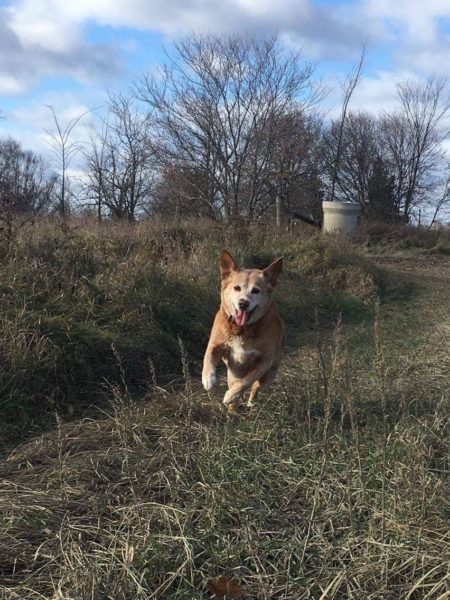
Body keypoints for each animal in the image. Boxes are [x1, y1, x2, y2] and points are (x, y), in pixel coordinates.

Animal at [201, 248, 284, 408]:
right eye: (237, 288)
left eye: (256, 290)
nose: (243, 303)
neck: (243, 329)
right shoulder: (216, 344)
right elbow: (208, 356)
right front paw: (208, 378)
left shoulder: (265, 361)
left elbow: (247, 381)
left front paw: (231, 395)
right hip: (233, 373)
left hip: (269, 374)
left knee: (255, 386)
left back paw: (249, 402)